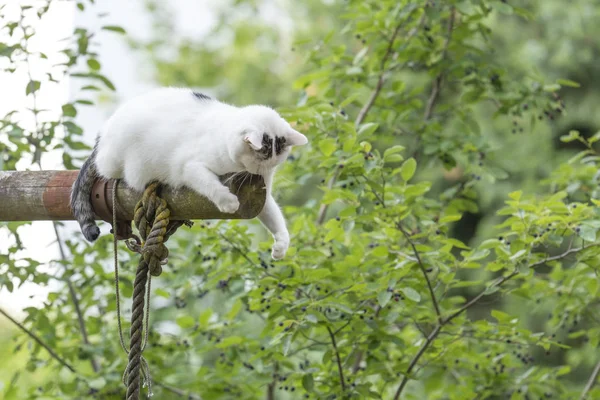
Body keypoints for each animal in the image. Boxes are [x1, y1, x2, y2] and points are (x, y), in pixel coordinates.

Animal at [71, 87, 308, 260]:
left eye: (278, 156)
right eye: (264, 157)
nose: (266, 171)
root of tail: (103, 134)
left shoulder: (262, 194)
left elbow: (273, 215)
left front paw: (281, 245)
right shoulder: (189, 167)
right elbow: (210, 184)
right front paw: (228, 202)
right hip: (115, 161)